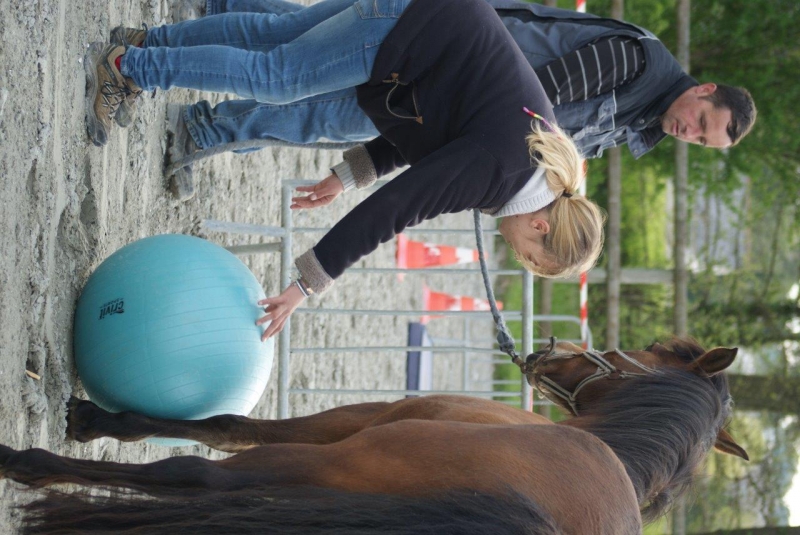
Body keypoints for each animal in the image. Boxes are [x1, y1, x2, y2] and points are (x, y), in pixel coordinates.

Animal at [3, 340, 748, 535]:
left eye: (651, 349)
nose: (548, 352)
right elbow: (228, 424)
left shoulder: (351, 425)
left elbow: (219, 438)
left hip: (329, 466)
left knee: (190, 476)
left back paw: (24, 465)